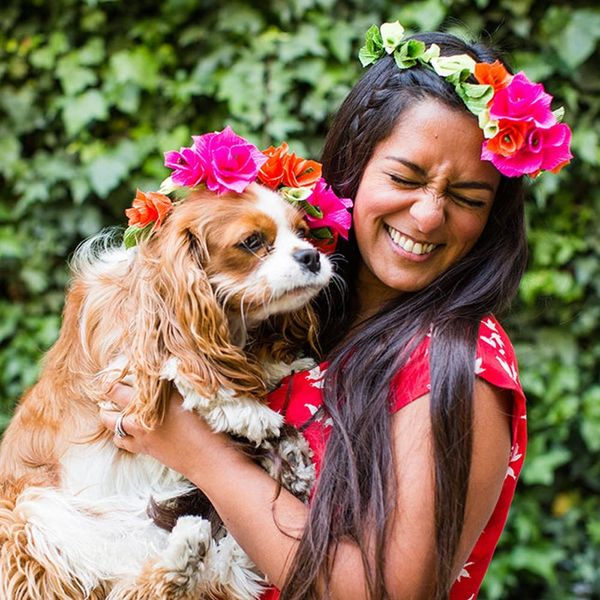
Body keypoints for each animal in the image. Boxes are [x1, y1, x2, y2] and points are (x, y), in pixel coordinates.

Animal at [0, 182, 333, 599]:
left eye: (303, 233)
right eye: (252, 242)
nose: (311, 256)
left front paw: (276, 368)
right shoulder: (127, 359)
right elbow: (185, 364)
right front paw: (244, 409)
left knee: (211, 574)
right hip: (27, 519)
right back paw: (184, 553)